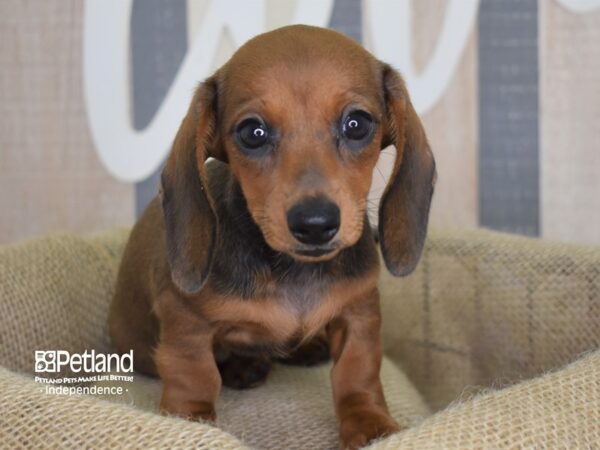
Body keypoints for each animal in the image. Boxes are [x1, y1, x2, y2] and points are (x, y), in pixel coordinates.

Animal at [109, 25, 436, 450]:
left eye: (357, 124)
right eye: (253, 132)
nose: (315, 223)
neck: (292, 272)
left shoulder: (359, 310)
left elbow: (357, 371)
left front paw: (370, 423)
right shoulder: (184, 319)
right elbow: (193, 374)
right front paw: (191, 423)